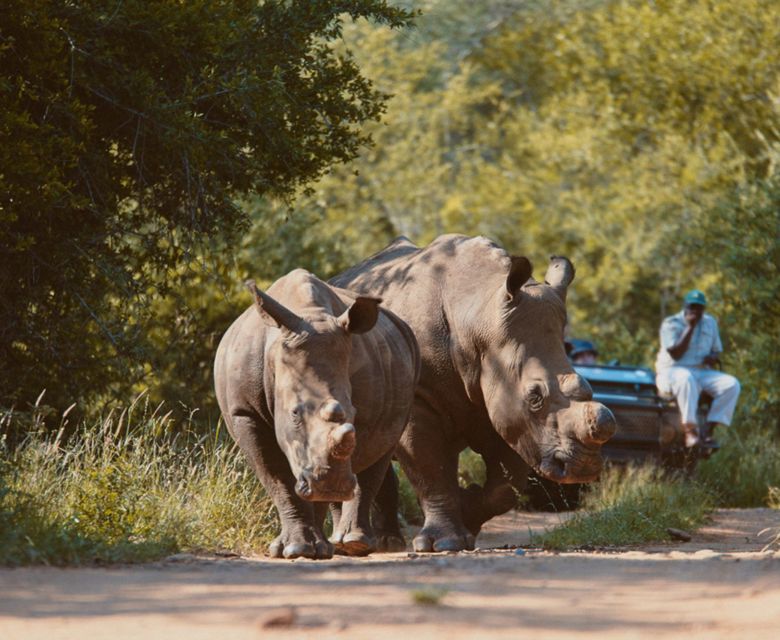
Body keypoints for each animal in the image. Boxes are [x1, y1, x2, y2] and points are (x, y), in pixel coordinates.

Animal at [214, 269, 420, 559]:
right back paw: (344, 543)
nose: (331, 485)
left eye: (353, 411)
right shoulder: (244, 411)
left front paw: (311, 547)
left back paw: (356, 544)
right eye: (294, 413)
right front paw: (295, 549)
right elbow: (277, 478)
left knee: (382, 446)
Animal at [331, 234, 616, 552]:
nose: (583, 467)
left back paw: (385, 543)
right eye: (535, 397)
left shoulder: (503, 401)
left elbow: (506, 484)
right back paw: (358, 544)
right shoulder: (420, 398)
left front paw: (467, 510)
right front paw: (444, 543)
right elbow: (430, 467)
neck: (479, 316)